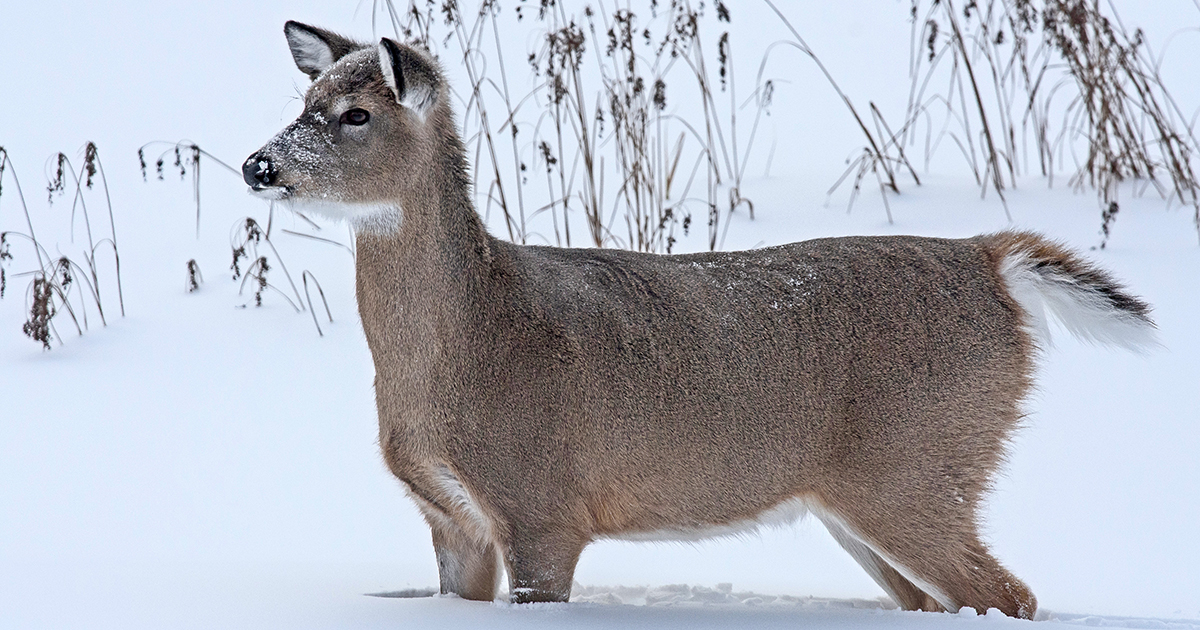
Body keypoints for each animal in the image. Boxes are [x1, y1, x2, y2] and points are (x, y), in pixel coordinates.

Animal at [242, 22, 1157, 618]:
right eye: (305, 97)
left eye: (357, 114)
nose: (259, 165)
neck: (471, 344)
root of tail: (989, 259)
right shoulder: (450, 516)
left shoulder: (546, 505)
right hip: (872, 494)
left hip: (919, 464)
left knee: (1012, 595)